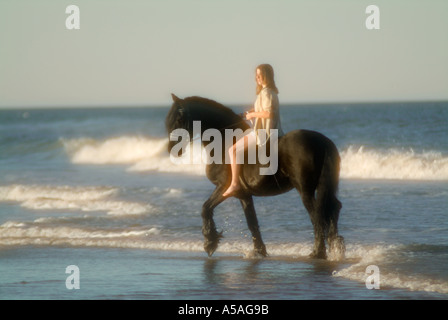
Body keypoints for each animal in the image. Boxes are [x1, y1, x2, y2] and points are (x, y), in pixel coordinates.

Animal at [166, 94, 344, 258]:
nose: (171, 150)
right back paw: (336, 249)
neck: (224, 142)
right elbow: (252, 222)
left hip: (305, 190)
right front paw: (259, 250)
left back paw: (317, 252)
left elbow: (205, 208)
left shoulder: (225, 187)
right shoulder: (243, 195)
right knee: (333, 209)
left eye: (179, 119)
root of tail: (322, 141)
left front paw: (210, 243)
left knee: (317, 215)